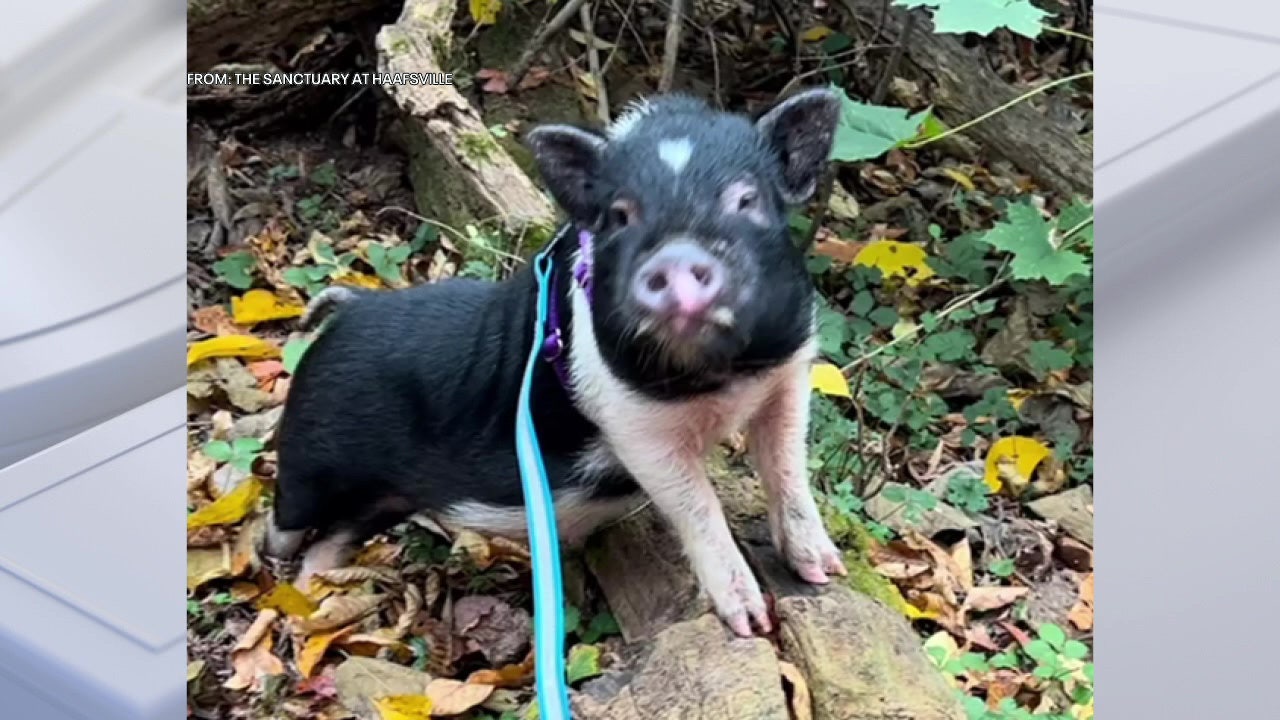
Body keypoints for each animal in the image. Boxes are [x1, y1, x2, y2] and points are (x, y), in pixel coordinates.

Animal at [263, 89, 847, 636]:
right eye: (620, 215)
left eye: (746, 199)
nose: (676, 257)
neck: (721, 380)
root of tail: (351, 307)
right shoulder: (634, 426)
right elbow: (696, 506)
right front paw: (751, 623)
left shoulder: (788, 372)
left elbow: (787, 467)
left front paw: (824, 571)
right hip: (309, 455)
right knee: (285, 523)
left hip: (383, 500)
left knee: (331, 541)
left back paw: (313, 599)